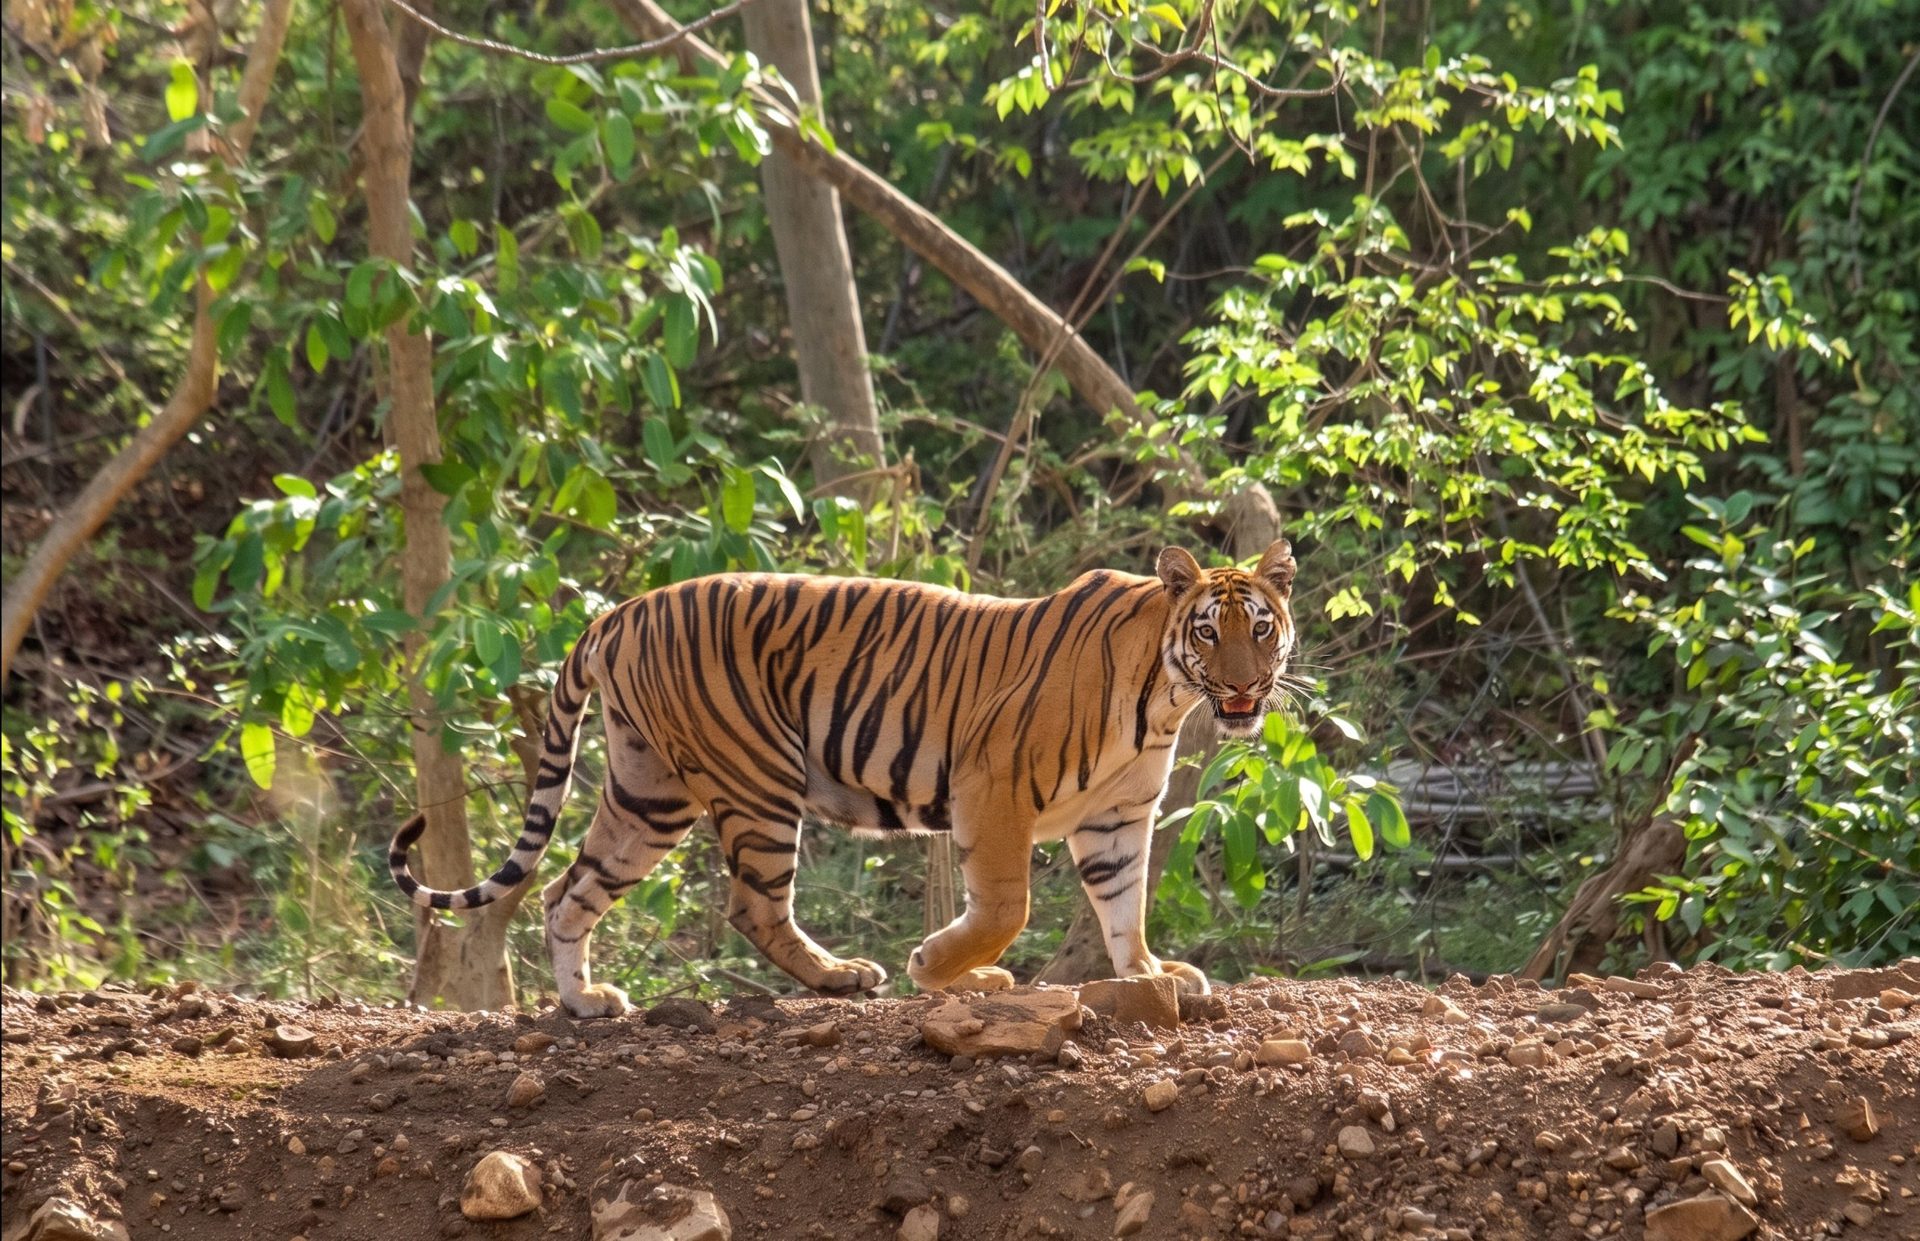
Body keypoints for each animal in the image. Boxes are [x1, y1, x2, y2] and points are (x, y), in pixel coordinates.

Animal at [389, 539, 1298, 1018]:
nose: (1246, 686)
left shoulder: (1117, 816)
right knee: (754, 904)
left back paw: (586, 1002)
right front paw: (937, 967)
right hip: (757, 777)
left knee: (567, 889)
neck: (1163, 698)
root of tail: (619, 610)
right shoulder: (993, 785)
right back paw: (840, 976)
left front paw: (1146, 974)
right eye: (1209, 631)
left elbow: (1123, 903)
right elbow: (1006, 907)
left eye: (1260, 627)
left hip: (649, 794)